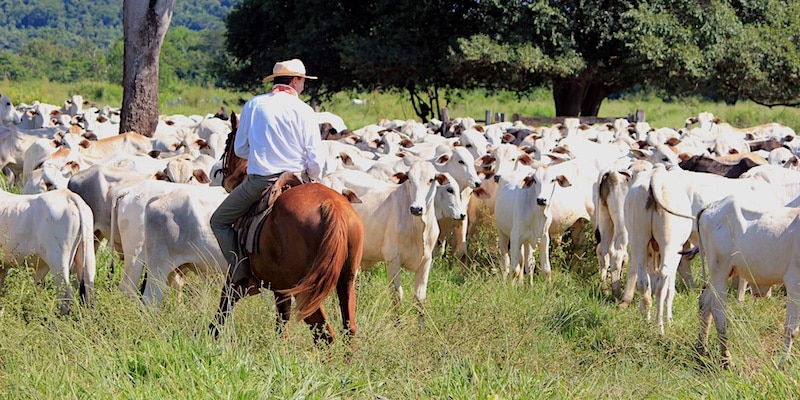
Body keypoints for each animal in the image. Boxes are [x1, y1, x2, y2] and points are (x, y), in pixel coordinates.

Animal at [209, 112, 366, 344]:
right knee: (349, 329)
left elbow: (223, 310)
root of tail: (332, 206)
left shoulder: (236, 278)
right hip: (345, 282)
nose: (224, 177)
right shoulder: (280, 290)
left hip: (306, 290)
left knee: (325, 334)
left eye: (229, 140)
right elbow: (281, 326)